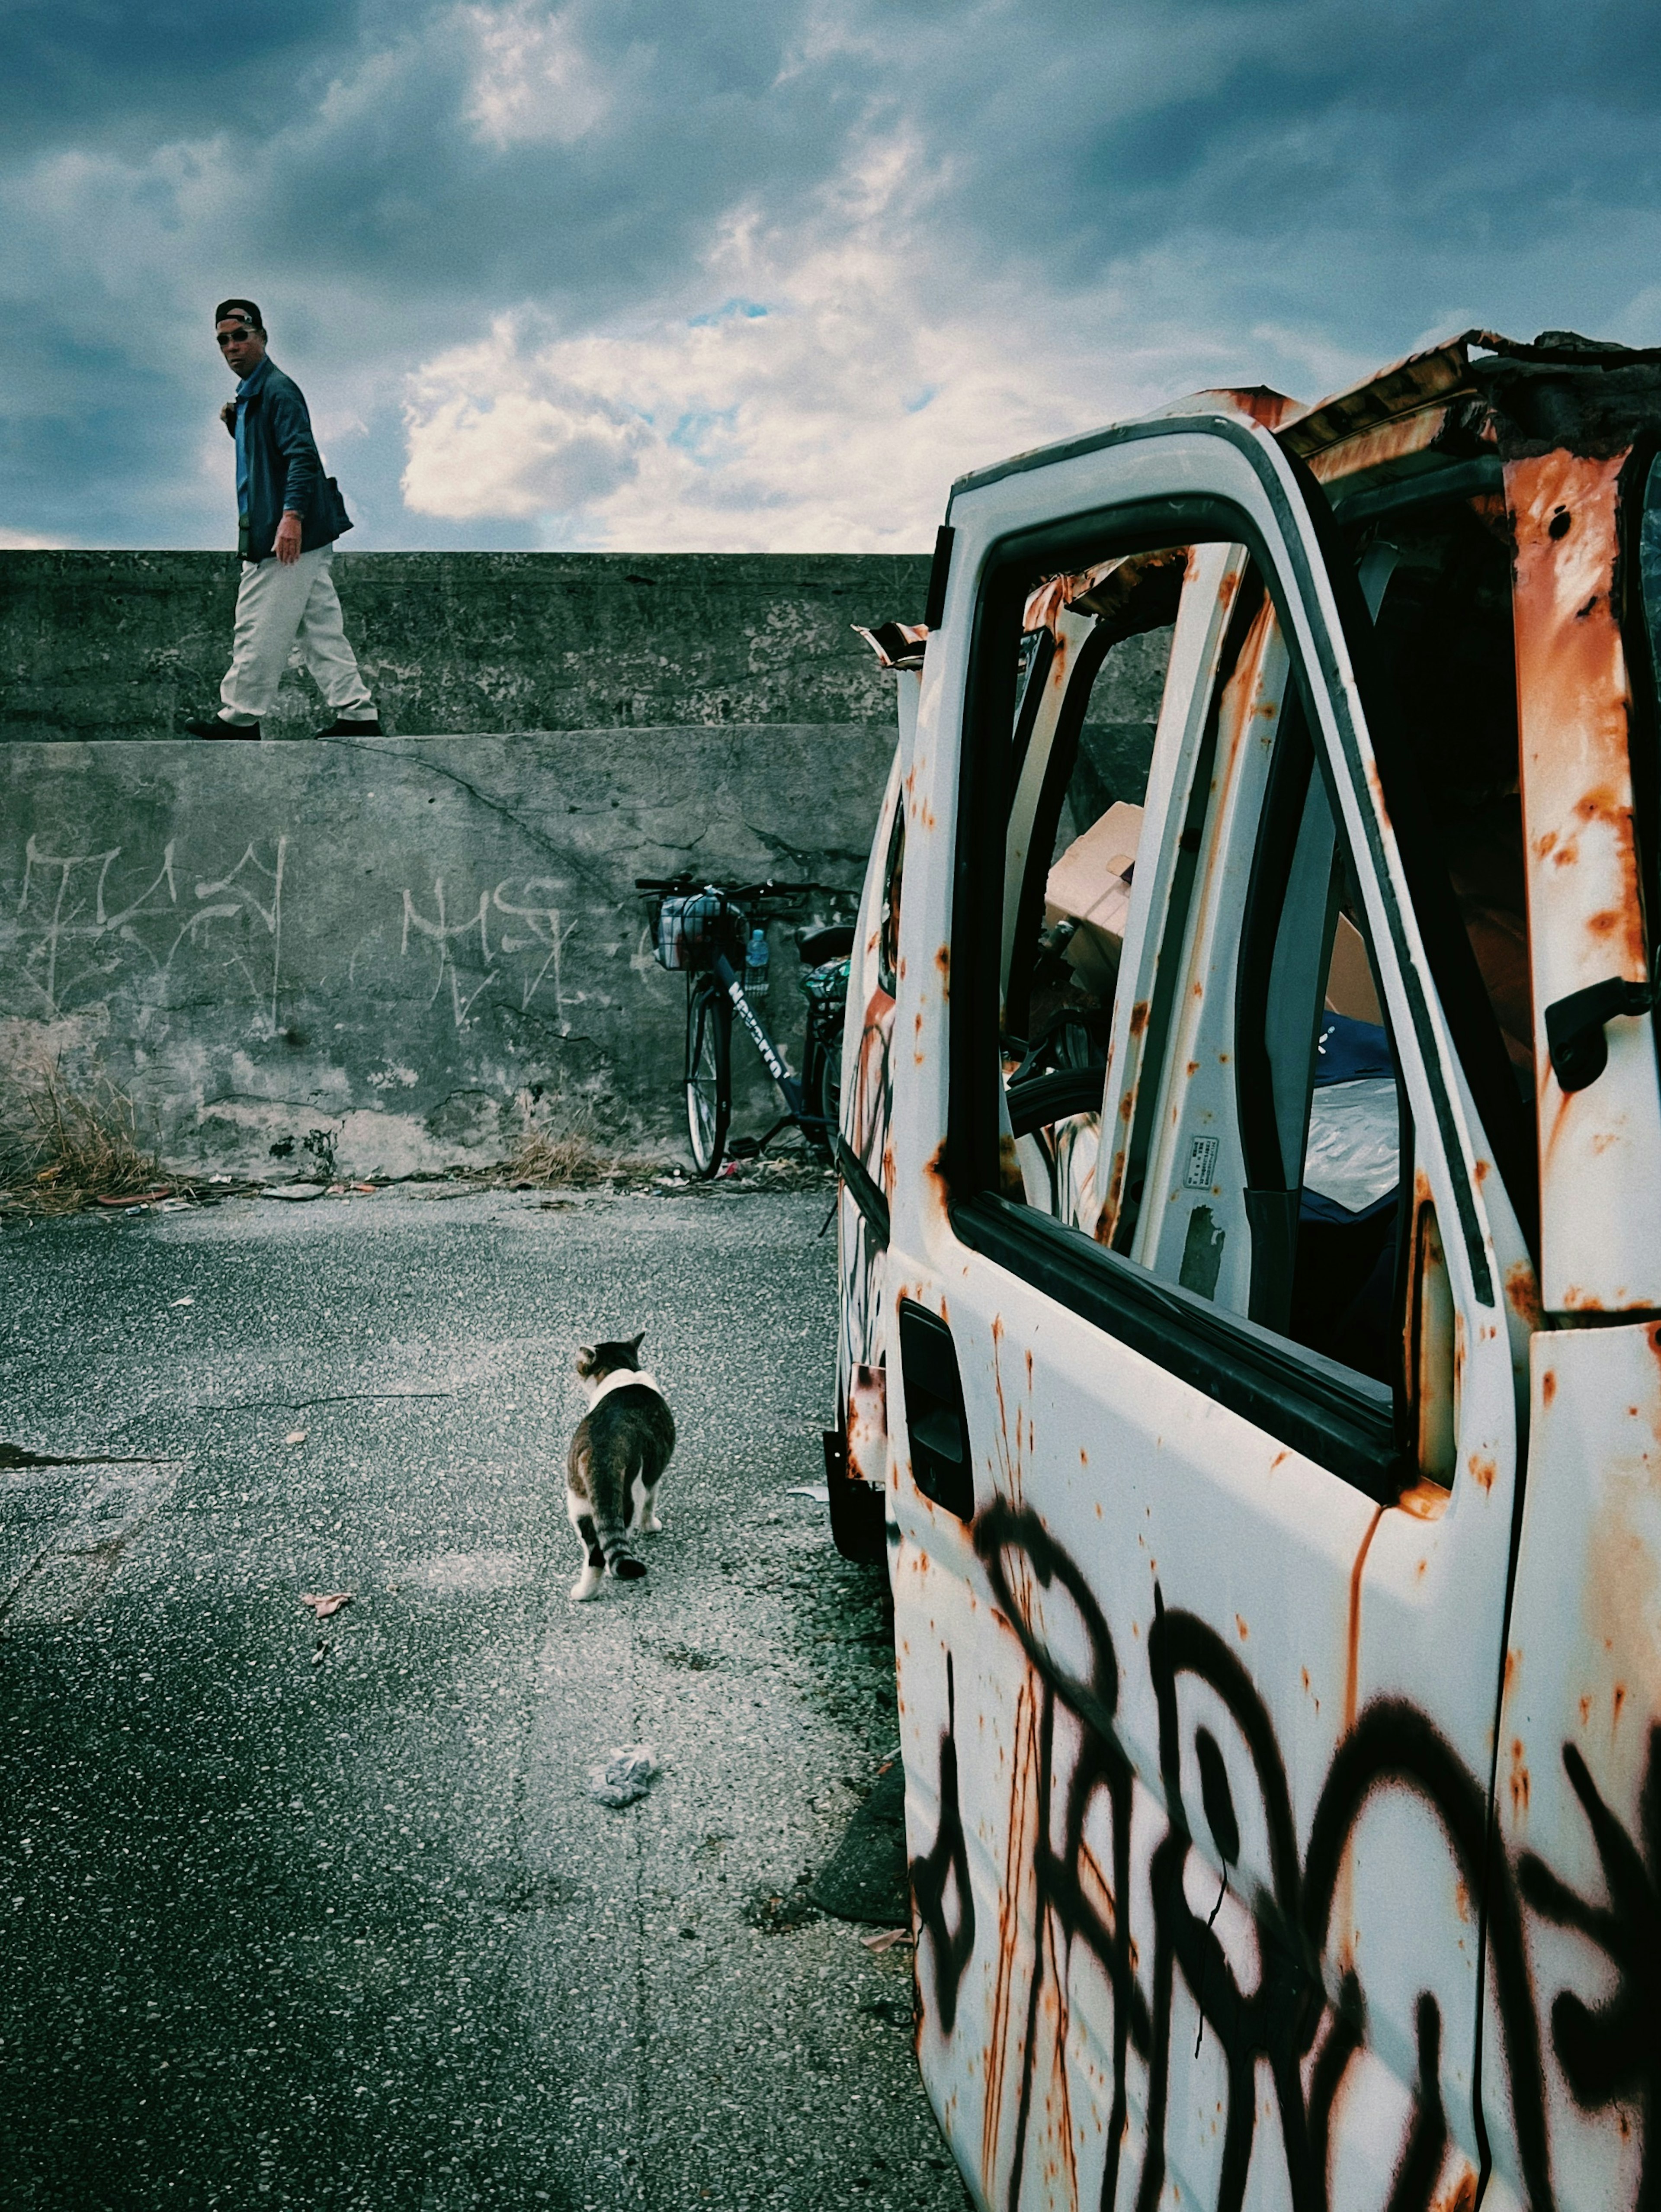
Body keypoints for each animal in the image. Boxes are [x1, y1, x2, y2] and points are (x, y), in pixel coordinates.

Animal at [566, 1318, 677, 1601]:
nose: (575, 1368)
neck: (622, 1370)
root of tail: (603, 1449)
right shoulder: (653, 1477)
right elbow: (650, 1505)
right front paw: (651, 1527)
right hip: (630, 1494)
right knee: (605, 1549)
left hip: (579, 1502)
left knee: (594, 1550)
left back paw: (584, 1593)